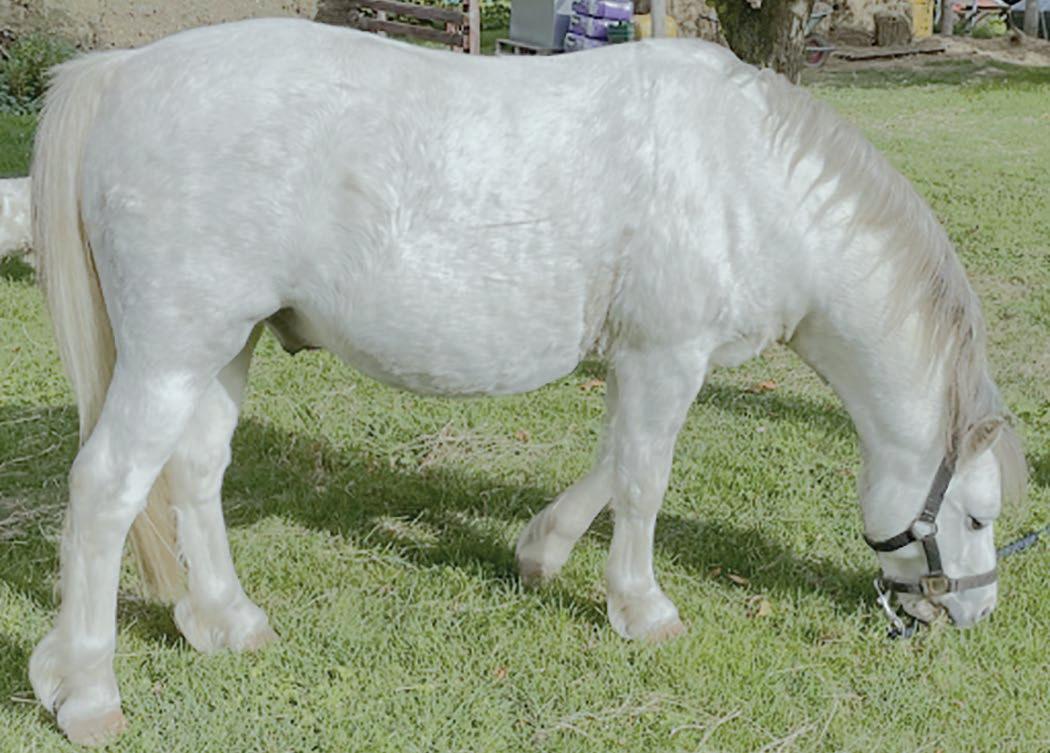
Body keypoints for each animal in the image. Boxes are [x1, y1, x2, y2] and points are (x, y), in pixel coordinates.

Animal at [28, 18, 1026, 746]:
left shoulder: (642, 360)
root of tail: (123, 73)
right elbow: (644, 479)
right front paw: (644, 608)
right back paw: (87, 691)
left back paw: (226, 621)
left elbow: (612, 460)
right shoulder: (668, 356)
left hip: (222, 348)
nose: (972, 612)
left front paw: (542, 553)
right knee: (106, 492)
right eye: (978, 517)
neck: (747, 180)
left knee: (197, 473)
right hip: (170, 354)